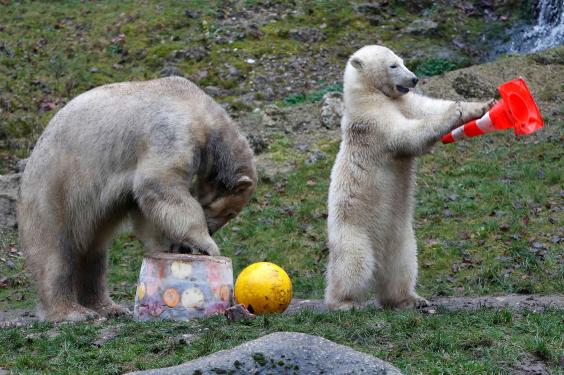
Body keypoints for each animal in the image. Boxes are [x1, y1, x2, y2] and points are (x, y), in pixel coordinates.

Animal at [326, 46, 494, 312]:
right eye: (393, 65)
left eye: (402, 61)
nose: (414, 79)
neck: (369, 95)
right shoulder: (373, 121)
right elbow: (405, 135)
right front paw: (454, 112)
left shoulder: (403, 102)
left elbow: (426, 107)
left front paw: (480, 105)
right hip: (352, 231)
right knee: (353, 265)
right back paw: (345, 302)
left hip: (402, 239)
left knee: (401, 267)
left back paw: (410, 299)